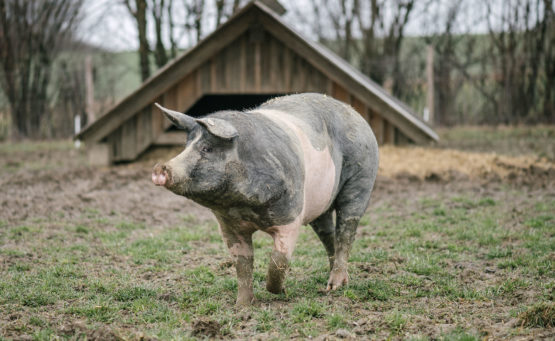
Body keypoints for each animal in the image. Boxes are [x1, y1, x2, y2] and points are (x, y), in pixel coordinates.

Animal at [152, 91, 378, 304]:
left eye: (207, 148)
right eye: (186, 147)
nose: (160, 168)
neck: (243, 206)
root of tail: (354, 112)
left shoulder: (291, 215)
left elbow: (278, 260)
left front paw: (280, 291)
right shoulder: (229, 225)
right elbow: (242, 264)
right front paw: (243, 306)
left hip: (361, 178)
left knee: (346, 230)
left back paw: (335, 286)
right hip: (318, 204)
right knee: (328, 235)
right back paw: (330, 283)